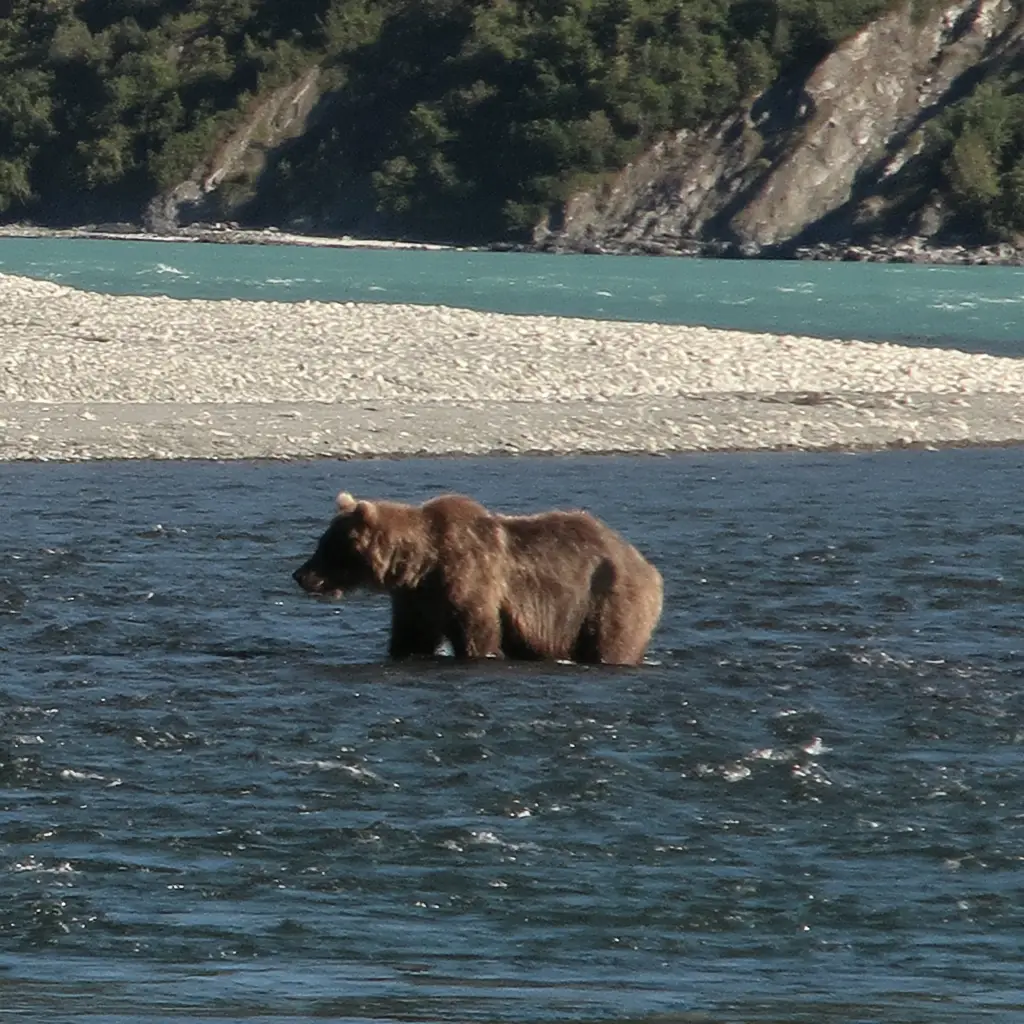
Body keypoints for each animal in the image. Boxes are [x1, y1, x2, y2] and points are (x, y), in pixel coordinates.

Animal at [293, 491, 663, 665]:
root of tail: (648, 567)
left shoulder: (470, 577)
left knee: (611, 641)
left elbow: (478, 630)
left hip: (605, 599)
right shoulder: (418, 599)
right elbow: (412, 638)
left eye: (327, 546)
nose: (299, 574)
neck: (422, 563)